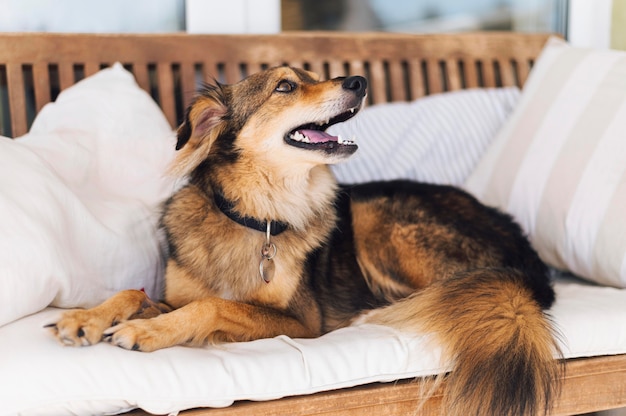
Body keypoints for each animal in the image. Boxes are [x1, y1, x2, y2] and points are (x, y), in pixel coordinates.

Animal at [48, 66, 560, 414]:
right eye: (286, 86)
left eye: (312, 77)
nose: (358, 80)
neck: (257, 217)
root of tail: (528, 263)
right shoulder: (177, 296)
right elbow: (137, 292)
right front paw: (85, 319)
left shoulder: (300, 321)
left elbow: (213, 306)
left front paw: (145, 332)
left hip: (376, 216)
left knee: (444, 293)